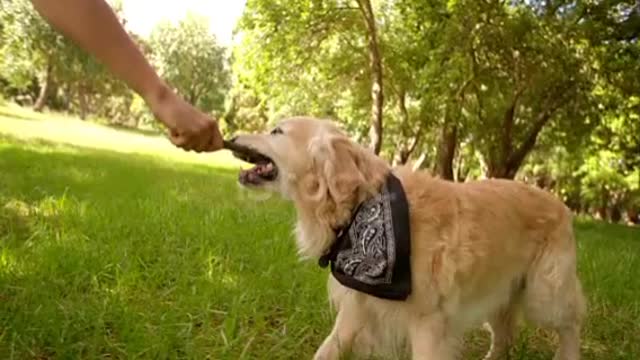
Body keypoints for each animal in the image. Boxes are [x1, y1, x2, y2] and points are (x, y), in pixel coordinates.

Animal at [229, 116, 584, 358]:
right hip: (498, 293)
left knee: (570, 325)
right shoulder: (357, 305)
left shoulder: (429, 321)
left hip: (545, 293)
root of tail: (560, 203)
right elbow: (329, 348)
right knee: (505, 335)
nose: (230, 136)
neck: (360, 206)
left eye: (277, 131)